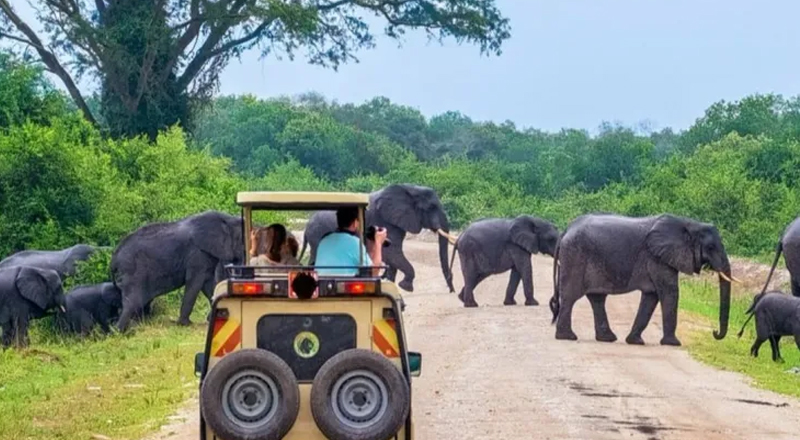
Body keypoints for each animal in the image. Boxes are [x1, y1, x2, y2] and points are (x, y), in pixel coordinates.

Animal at [110, 211, 244, 332]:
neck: (228, 220)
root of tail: (113, 259)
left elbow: (209, 284)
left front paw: (214, 317)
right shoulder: (197, 254)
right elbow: (195, 283)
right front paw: (185, 324)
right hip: (132, 271)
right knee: (133, 302)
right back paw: (119, 332)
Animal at [552, 213, 736, 348]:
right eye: (710, 247)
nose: (714, 332)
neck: (689, 224)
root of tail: (567, 229)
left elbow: (651, 297)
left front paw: (635, 342)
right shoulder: (658, 259)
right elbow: (670, 292)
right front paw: (674, 344)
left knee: (597, 298)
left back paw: (607, 338)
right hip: (575, 256)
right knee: (571, 296)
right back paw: (568, 337)